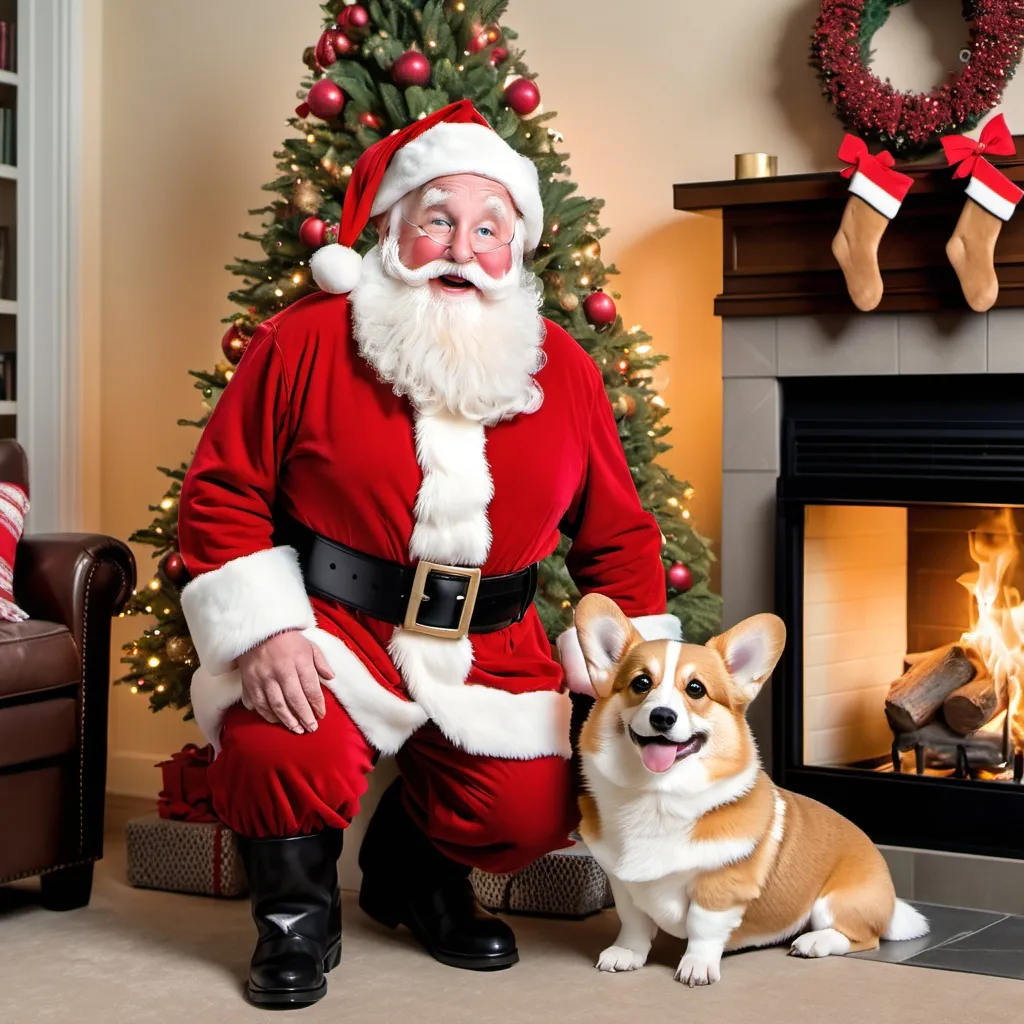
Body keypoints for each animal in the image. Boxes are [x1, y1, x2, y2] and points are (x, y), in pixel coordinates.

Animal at [577, 598, 929, 987]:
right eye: (641, 683)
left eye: (696, 689)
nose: (662, 716)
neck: (657, 795)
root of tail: (889, 897)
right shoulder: (623, 884)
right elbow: (634, 923)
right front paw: (626, 954)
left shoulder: (722, 884)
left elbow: (703, 927)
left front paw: (697, 966)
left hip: (834, 903)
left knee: (862, 937)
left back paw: (814, 942)